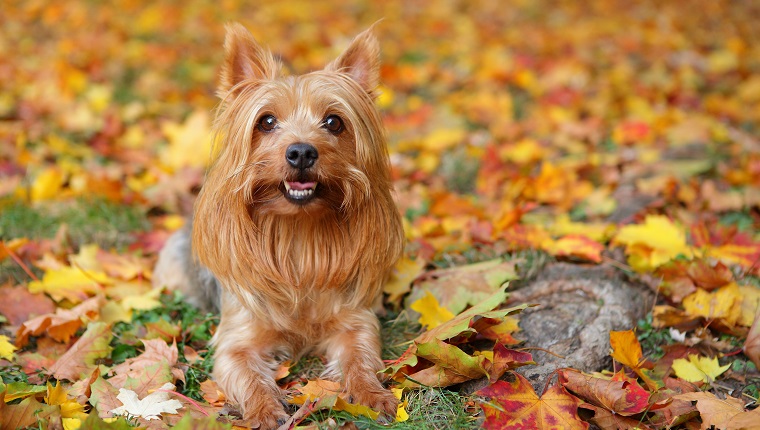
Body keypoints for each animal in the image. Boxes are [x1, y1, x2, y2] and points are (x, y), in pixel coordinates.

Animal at [153, 24, 404, 430]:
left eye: (334, 122)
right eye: (267, 121)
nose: (301, 152)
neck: (297, 233)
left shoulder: (354, 322)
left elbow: (360, 357)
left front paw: (373, 394)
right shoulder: (237, 339)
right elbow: (247, 373)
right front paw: (264, 410)